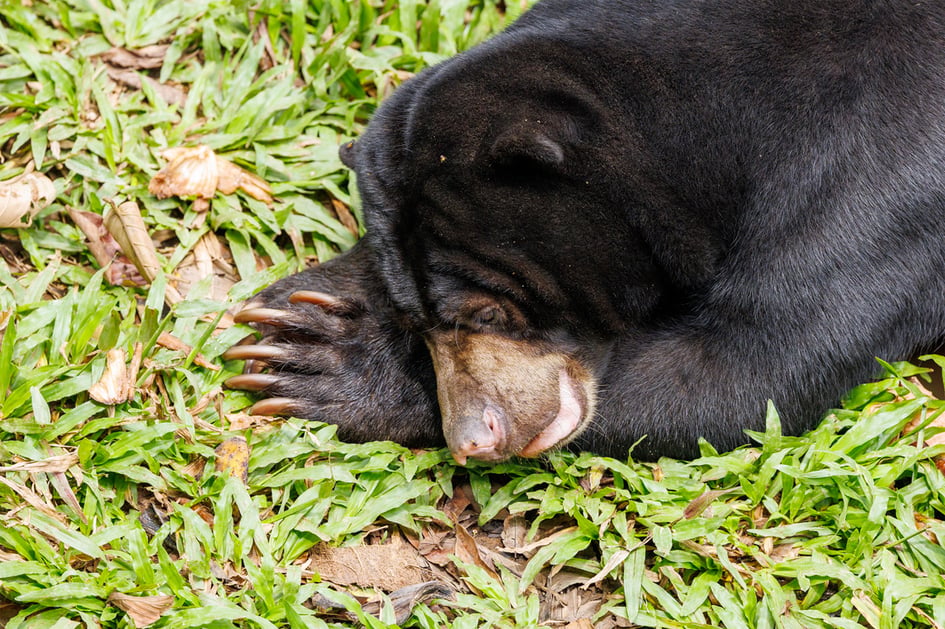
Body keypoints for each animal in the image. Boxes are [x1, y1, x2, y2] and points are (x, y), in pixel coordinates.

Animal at [226, 0, 945, 463]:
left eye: (490, 311)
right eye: (416, 321)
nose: (473, 440)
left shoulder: (872, 178)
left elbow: (752, 366)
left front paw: (324, 366)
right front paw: (302, 303)